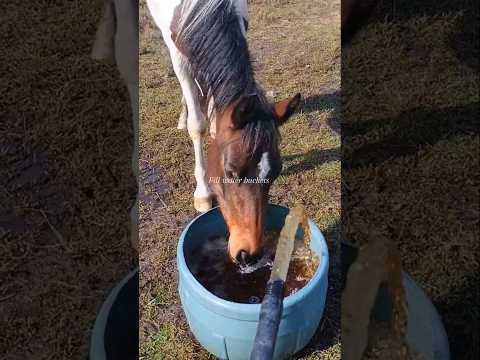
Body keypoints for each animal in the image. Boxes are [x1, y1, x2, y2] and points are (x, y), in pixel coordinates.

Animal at [148, 0, 302, 264]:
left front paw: (214, 127)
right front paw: (202, 193)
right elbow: (196, 125)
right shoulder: (179, 56)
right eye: (230, 172)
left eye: (275, 172)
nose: (249, 254)